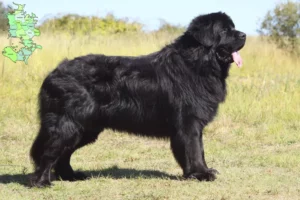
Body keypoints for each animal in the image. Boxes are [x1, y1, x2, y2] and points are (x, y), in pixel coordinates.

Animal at [29, 12, 246, 188]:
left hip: (86, 127)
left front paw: (198, 172)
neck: (197, 63)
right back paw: (41, 182)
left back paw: (71, 176)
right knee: (49, 151)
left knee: (63, 154)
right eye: (225, 30)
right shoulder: (189, 122)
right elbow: (194, 149)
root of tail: (53, 73)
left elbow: (194, 149)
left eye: (233, 27)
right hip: (69, 123)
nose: (244, 35)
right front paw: (201, 174)